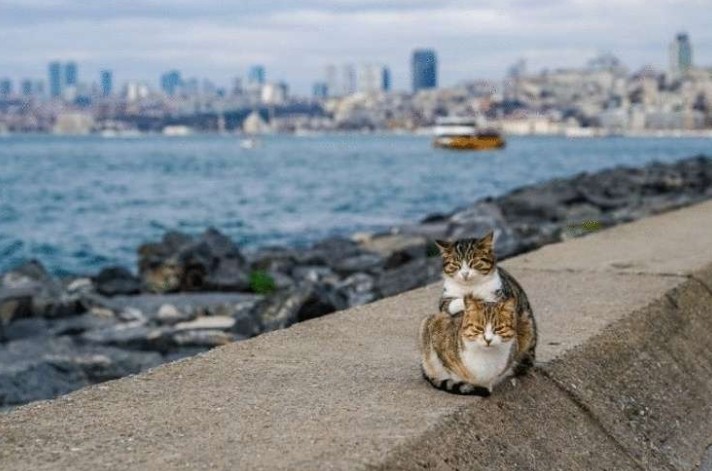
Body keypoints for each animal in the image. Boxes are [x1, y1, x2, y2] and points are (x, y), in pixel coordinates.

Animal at [434, 233, 536, 376]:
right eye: (456, 264)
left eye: (473, 262)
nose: (465, 274)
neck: (470, 287)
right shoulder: (445, 298)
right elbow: (452, 303)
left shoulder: (501, 295)